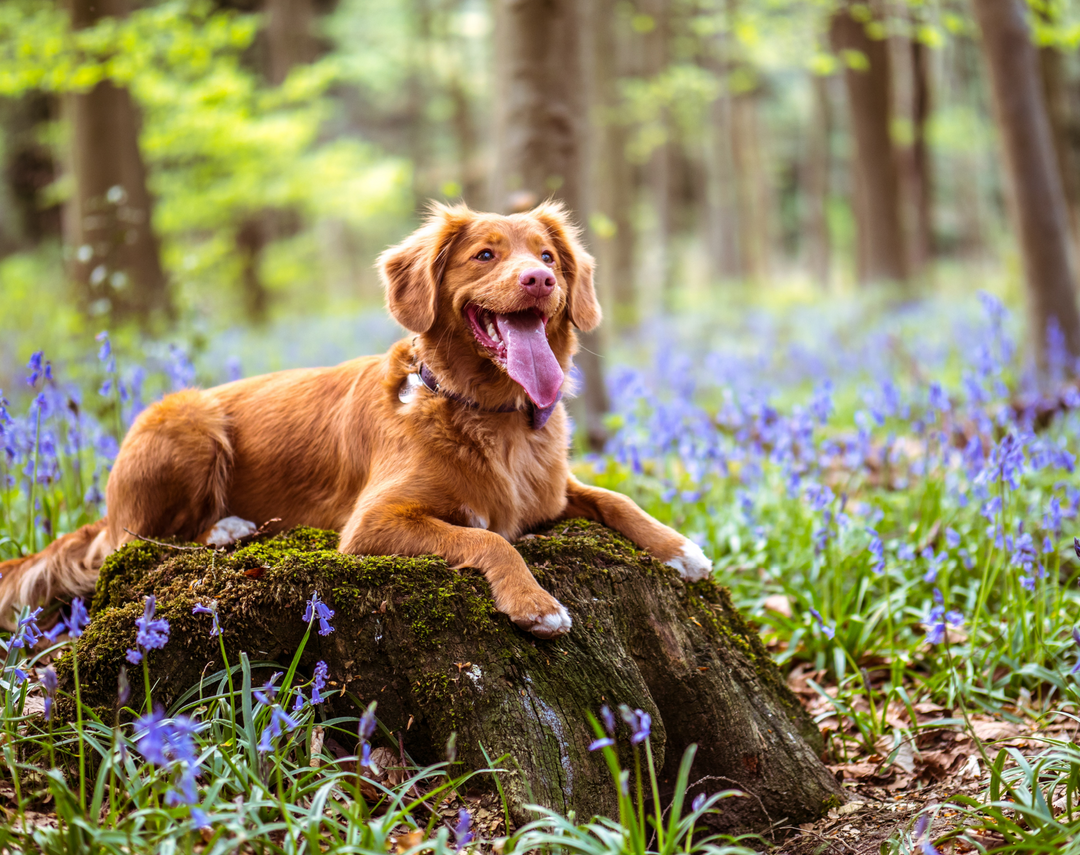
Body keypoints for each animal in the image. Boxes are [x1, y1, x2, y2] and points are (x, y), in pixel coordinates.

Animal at [0, 204, 712, 639]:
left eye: (548, 255)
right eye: (485, 255)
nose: (539, 280)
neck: (489, 415)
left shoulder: (552, 493)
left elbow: (615, 498)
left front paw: (680, 548)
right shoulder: (372, 524)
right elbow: (491, 540)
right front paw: (535, 604)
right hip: (187, 420)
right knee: (136, 541)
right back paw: (225, 528)